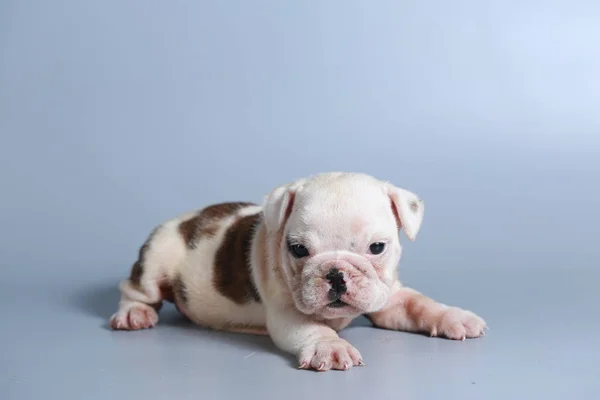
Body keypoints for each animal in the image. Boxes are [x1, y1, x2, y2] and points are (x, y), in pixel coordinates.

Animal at [110, 172, 486, 372]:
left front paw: (455, 317)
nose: (335, 273)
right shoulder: (286, 313)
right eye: (299, 250)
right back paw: (134, 314)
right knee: (134, 288)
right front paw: (330, 347)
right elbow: (313, 329)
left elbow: (420, 304)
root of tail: (186, 219)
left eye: (377, 247)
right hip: (156, 258)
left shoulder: (390, 298)